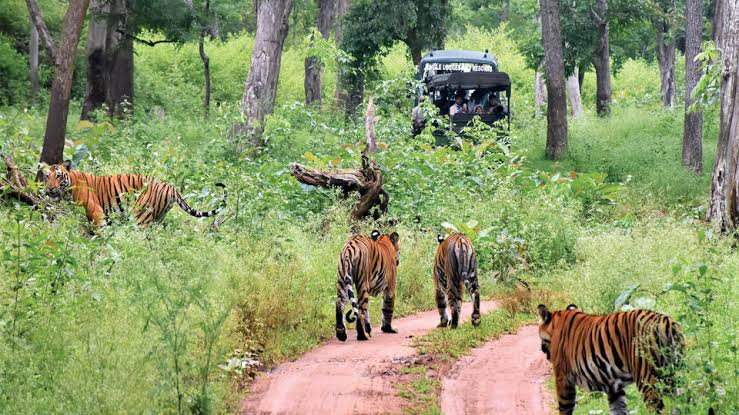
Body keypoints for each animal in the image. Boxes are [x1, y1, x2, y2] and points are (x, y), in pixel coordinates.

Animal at [39, 162, 225, 228]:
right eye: (47, 176)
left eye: (58, 176)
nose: (49, 189)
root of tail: (170, 186)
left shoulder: (96, 212)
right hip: (157, 218)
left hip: (140, 216)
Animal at [536, 302, 688, 415]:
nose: (541, 349)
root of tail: (667, 322)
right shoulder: (613, 385)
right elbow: (618, 409)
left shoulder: (563, 378)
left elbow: (564, 408)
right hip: (674, 376)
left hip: (648, 380)